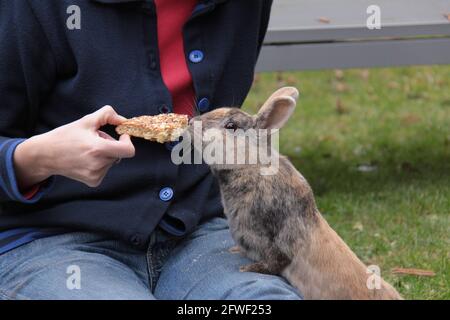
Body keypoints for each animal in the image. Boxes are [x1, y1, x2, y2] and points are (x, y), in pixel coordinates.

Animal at [186, 87, 400, 300]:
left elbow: (276, 261)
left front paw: (248, 269)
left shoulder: (275, 240)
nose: (191, 123)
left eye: (231, 126)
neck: (251, 163)